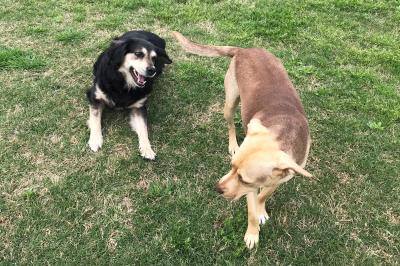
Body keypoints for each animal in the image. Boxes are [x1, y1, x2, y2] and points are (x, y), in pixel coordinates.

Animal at [87, 31, 172, 160]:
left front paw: (147, 149)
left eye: (154, 58)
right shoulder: (95, 96)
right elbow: (95, 119)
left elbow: (143, 128)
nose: (151, 70)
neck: (123, 84)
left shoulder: (138, 106)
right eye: (138, 54)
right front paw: (95, 140)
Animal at [173, 31, 314, 249]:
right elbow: (252, 211)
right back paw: (233, 143)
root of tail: (244, 49)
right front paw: (252, 233)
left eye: (244, 178)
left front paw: (262, 209)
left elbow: (264, 195)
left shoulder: (278, 179)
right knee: (231, 124)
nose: (217, 189)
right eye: (231, 166)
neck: (283, 132)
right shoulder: (249, 191)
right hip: (230, 102)